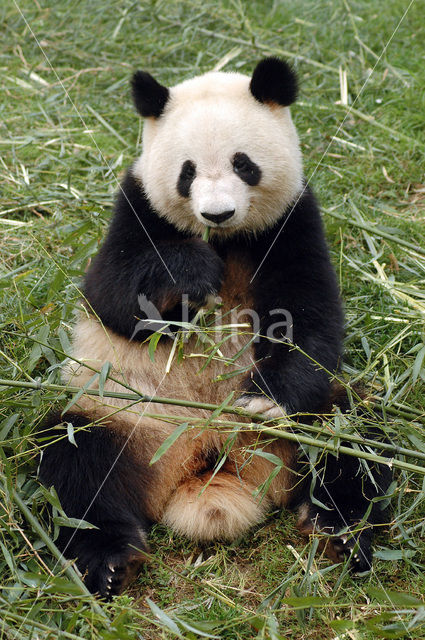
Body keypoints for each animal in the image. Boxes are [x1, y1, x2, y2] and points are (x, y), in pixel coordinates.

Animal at [39, 58, 390, 600]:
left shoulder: (292, 219)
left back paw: (342, 532)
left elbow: (311, 320)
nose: (216, 212)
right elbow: (111, 294)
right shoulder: (136, 205)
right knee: (74, 462)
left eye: (243, 163)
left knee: (353, 437)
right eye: (186, 172)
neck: (225, 240)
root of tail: (206, 461)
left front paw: (263, 400)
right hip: (124, 415)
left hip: (308, 426)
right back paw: (108, 563)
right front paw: (190, 274)